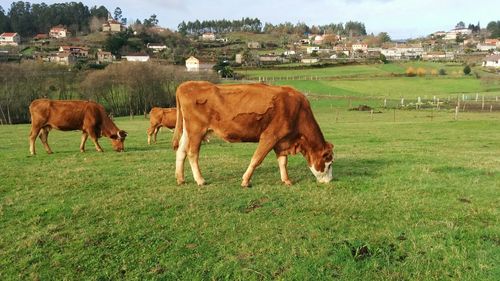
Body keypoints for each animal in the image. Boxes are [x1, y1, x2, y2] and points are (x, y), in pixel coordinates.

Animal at [173, 81, 336, 186]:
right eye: (328, 164)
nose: (330, 181)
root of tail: (186, 85)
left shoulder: (281, 140)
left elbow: (283, 161)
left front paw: (286, 180)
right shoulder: (270, 136)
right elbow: (257, 159)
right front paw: (245, 181)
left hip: (188, 131)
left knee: (181, 151)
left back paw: (180, 179)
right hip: (196, 130)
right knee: (192, 153)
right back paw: (200, 180)